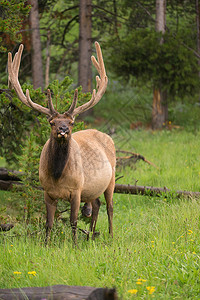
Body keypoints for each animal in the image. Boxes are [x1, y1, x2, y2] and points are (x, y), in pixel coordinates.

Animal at [7, 42, 115, 244]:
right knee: (96, 204)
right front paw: (46, 244)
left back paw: (111, 236)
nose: (63, 129)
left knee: (110, 207)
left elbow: (73, 221)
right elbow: (48, 222)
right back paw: (90, 236)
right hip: (92, 188)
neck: (57, 175)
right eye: (52, 122)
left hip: (111, 179)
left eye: (71, 122)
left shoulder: (77, 189)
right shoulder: (47, 191)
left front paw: (74, 245)